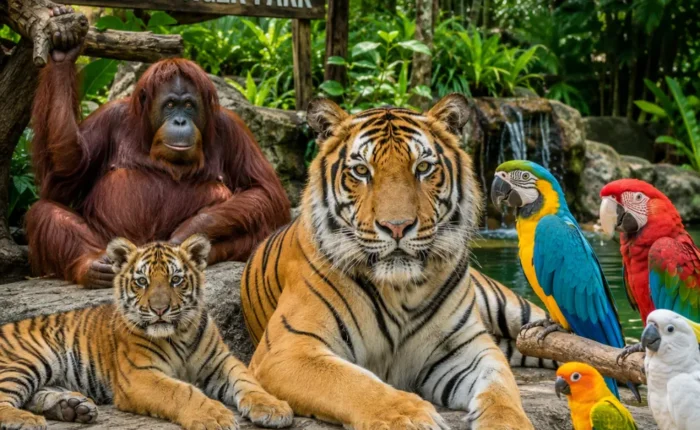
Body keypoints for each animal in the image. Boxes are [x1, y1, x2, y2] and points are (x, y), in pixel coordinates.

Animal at [0, 235, 293, 430]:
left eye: (176, 279)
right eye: (142, 281)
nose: (160, 309)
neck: (180, 334)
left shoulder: (222, 362)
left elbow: (248, 381)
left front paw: (273, 408)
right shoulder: (140, 375)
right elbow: (181, 391)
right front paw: (215, 416)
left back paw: (73, 408)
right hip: (27, 360)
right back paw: (27, 420)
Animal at [241, 94, 545, 430]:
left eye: (423, 167)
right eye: (361, 171)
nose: (397, 226)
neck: (401, 289)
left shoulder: (467, 348)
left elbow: (500, 386)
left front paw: (508, 422)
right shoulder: (287, 350)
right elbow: (354, 383)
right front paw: (410, 416)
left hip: (516, 311)